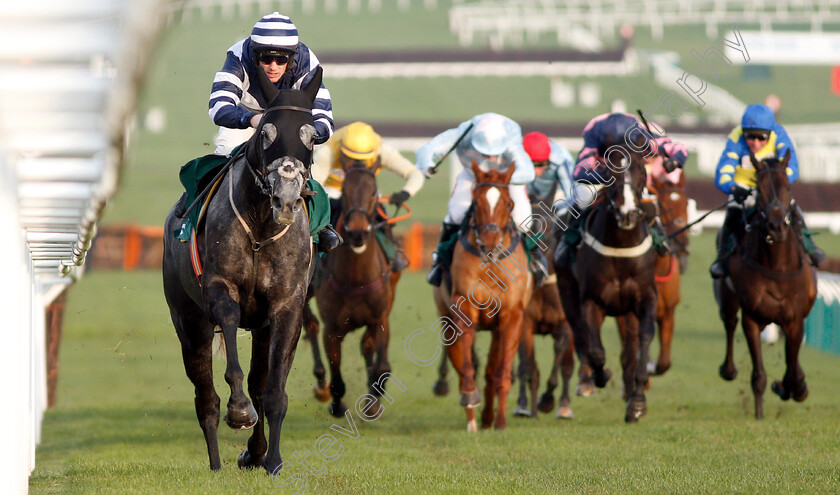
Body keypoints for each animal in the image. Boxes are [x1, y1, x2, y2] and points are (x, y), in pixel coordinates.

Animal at [162, 69, 322, 472]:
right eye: (265, 131)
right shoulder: (221, 288)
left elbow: (272, 389)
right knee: (205, 397)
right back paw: (216, 462)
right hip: (188, 320)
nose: (285, 199)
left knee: (258, 382)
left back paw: (255, 451)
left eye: (312, 135)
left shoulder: (285, 307)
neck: (261, 232)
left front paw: (272, 459)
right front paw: (239, 412)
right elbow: (231, 334)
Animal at [312, 161, 400, 416]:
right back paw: (321, 385)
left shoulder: (379, 319)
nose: (358, 232)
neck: (355, 279)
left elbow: (381, 365)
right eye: (345, 191)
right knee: (309, 325)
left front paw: (373, 401)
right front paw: (337, 403)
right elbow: (337, 375)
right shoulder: (332, 329)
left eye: (373, 191)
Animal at [434, 162, 532, 430]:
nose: (489, 244)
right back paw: (472, 421)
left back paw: (488, 418)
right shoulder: (464, 307)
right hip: (447, 320)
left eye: (508, 203)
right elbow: (467, 365)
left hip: (497, 330)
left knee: (490, 370)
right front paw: (470, 400)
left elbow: (501, 372)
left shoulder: (511, 316)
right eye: (476, 202)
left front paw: (500, 422)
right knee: (461, 364)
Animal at [556, 142, 660, 422]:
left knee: (629, 350)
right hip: (568, 295)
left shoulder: (645, 298)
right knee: (582, 337)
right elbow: (595, 351)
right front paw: (600, 376)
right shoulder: (591, 301)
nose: (627, 214)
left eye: (642, 170)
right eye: (609, 171)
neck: (620, 246)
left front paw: (637, 402)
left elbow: (644, 339)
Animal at [712, 150, 816, 418]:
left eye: (788, 186)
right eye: (760, 189)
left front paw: (793, 386)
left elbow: (791, 367)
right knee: (729, 324)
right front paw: (759, 414)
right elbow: (759, 374)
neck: (777, 266)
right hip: (727, 297)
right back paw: (728, 369)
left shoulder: (794, 319)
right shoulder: (752, 318)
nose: (777, 226)